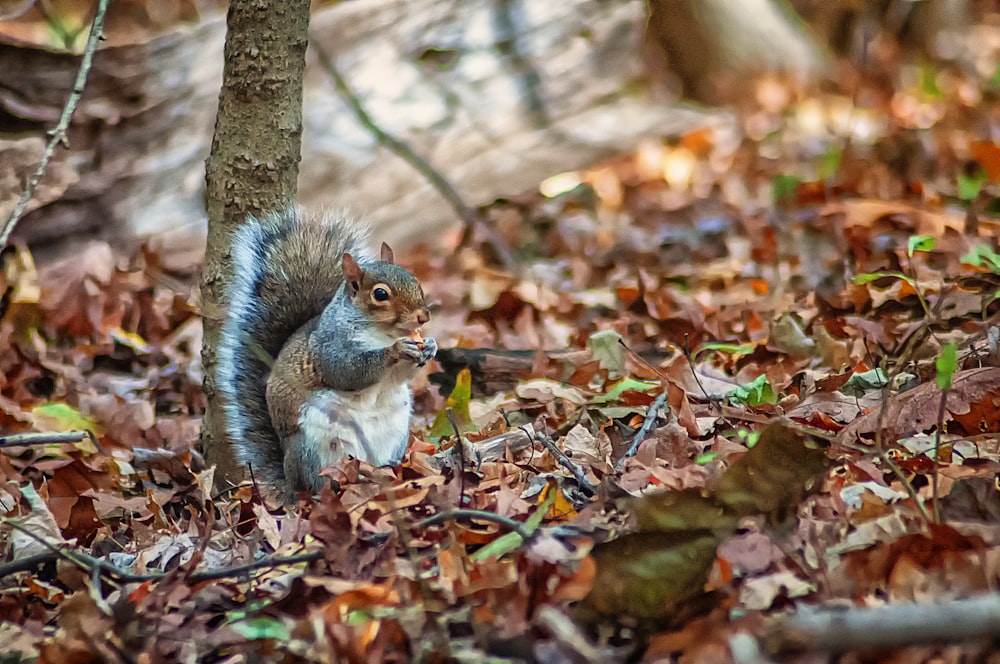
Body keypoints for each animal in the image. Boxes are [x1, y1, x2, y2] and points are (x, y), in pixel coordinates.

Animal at [217, 208, 436, 498]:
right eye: (380, 294)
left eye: (414, 280)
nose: (423, 316)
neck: (383, 333)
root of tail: (289, 483)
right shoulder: (331, 347)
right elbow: (348, 371)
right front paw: (395, 350)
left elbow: (401, 376)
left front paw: (430, 346)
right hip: (311, 450)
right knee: (315, 484)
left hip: (396, 437)